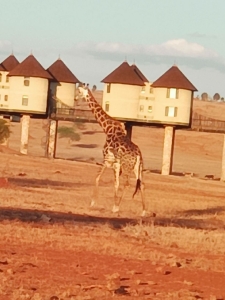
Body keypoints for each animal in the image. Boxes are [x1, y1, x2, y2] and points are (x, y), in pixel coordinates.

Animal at [78, 86, 146, 216]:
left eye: (79, 91)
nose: (75, 97)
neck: (107, 128)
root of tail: (138, 155)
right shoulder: (114, 163)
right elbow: (110, 181)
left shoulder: (107, 159)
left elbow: (99, 178)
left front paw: (93, 202)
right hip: (138, 168)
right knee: (142, 184)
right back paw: (144, 211)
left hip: (126, 167)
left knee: (127, 183)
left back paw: (117, 207)